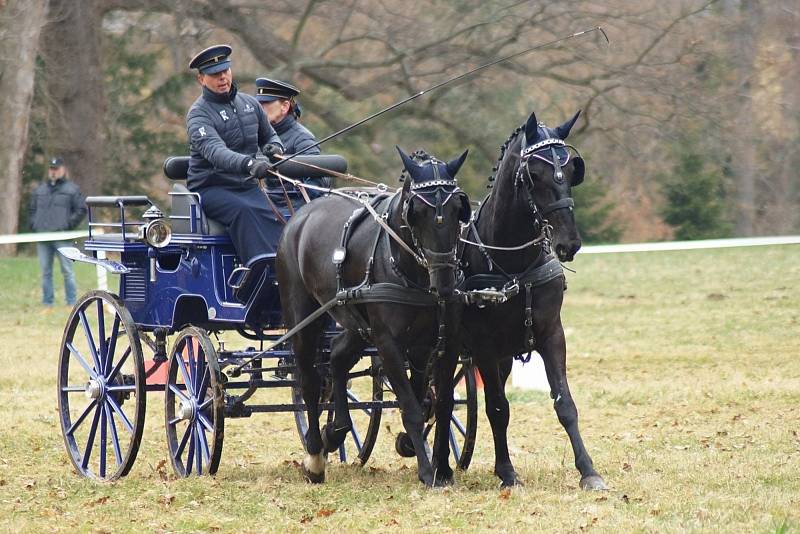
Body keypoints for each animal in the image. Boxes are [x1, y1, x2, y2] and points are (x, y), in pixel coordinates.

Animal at [278, 149, 472, 488]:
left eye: (457, 209)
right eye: (417, 211)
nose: (445, 283)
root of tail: (299, 218)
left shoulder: (438, 343)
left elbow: (438, 402)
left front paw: (439, 465)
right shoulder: (388, 343)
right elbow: (411, 407)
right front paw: (427, 471)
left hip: (357, 324)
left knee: (337, 358)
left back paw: (336, 431)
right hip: (305, 321)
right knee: (309, 382)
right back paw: (315, 457)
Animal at [456, 111, 608, 492]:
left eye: (571, 171)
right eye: (533, 175)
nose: (569, 243)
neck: (513, 264)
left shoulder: (551, 335)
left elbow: (565, 404)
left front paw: (589, 471)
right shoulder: (484, 346)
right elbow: (498, 408)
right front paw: (508, 473)